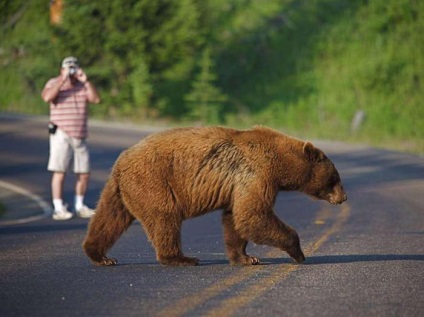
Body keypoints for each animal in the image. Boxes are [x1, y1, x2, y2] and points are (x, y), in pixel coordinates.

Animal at [82, 124, 344, 266]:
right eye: (335, 178)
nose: (343, 198)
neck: (281, 164)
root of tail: (121, 160)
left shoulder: (237, 185)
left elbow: (235, 219)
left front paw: (246, 257)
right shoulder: (256, 173)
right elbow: (253, 214)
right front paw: (298, 253)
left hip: (122, 189)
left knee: (110, 218)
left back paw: (100, 255)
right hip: (153, 182)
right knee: (164, 218)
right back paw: (180, 257)